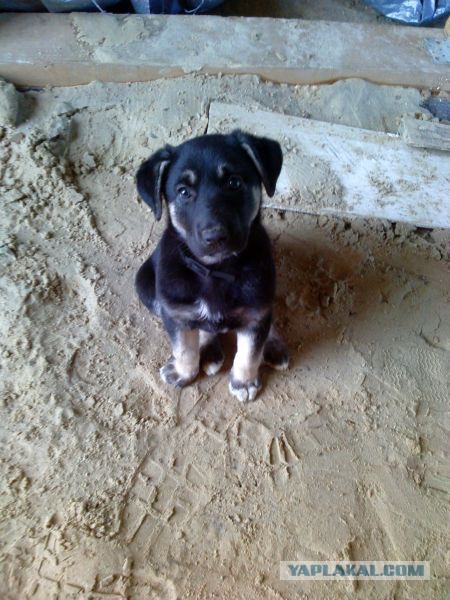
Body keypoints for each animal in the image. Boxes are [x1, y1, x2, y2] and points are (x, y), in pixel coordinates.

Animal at [135, 132, 288, 404]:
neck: (218, 270)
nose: (215, 237)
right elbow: (184, 348)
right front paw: (184, 373)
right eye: (183, 192)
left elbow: (249, 352)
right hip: (145, 286)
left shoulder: (256, 309)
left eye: (234, 183)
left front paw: (243, 381)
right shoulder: (175, 313)